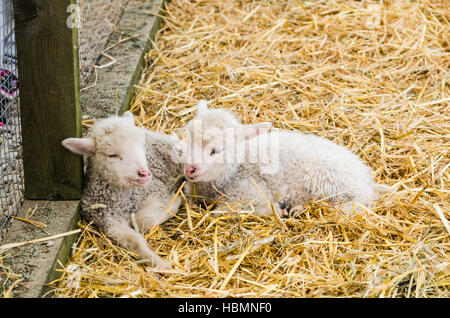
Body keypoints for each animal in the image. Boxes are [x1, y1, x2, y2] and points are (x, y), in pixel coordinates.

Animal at [61, 112, 185, 268]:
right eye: (112, 155)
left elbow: (141, 219)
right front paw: (161, 264)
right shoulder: (110, 223)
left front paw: (176, 201)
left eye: (141, 146)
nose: (144, 173)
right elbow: (135, 239)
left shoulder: (157, 191)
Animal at [181, 100, 392, 217]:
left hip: (331, 180)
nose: (190, 169)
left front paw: (275, 210)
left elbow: (222, 212)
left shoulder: (248, 192)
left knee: (361, 200)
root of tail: (366, 177)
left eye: (217, 150)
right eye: (187, 139)